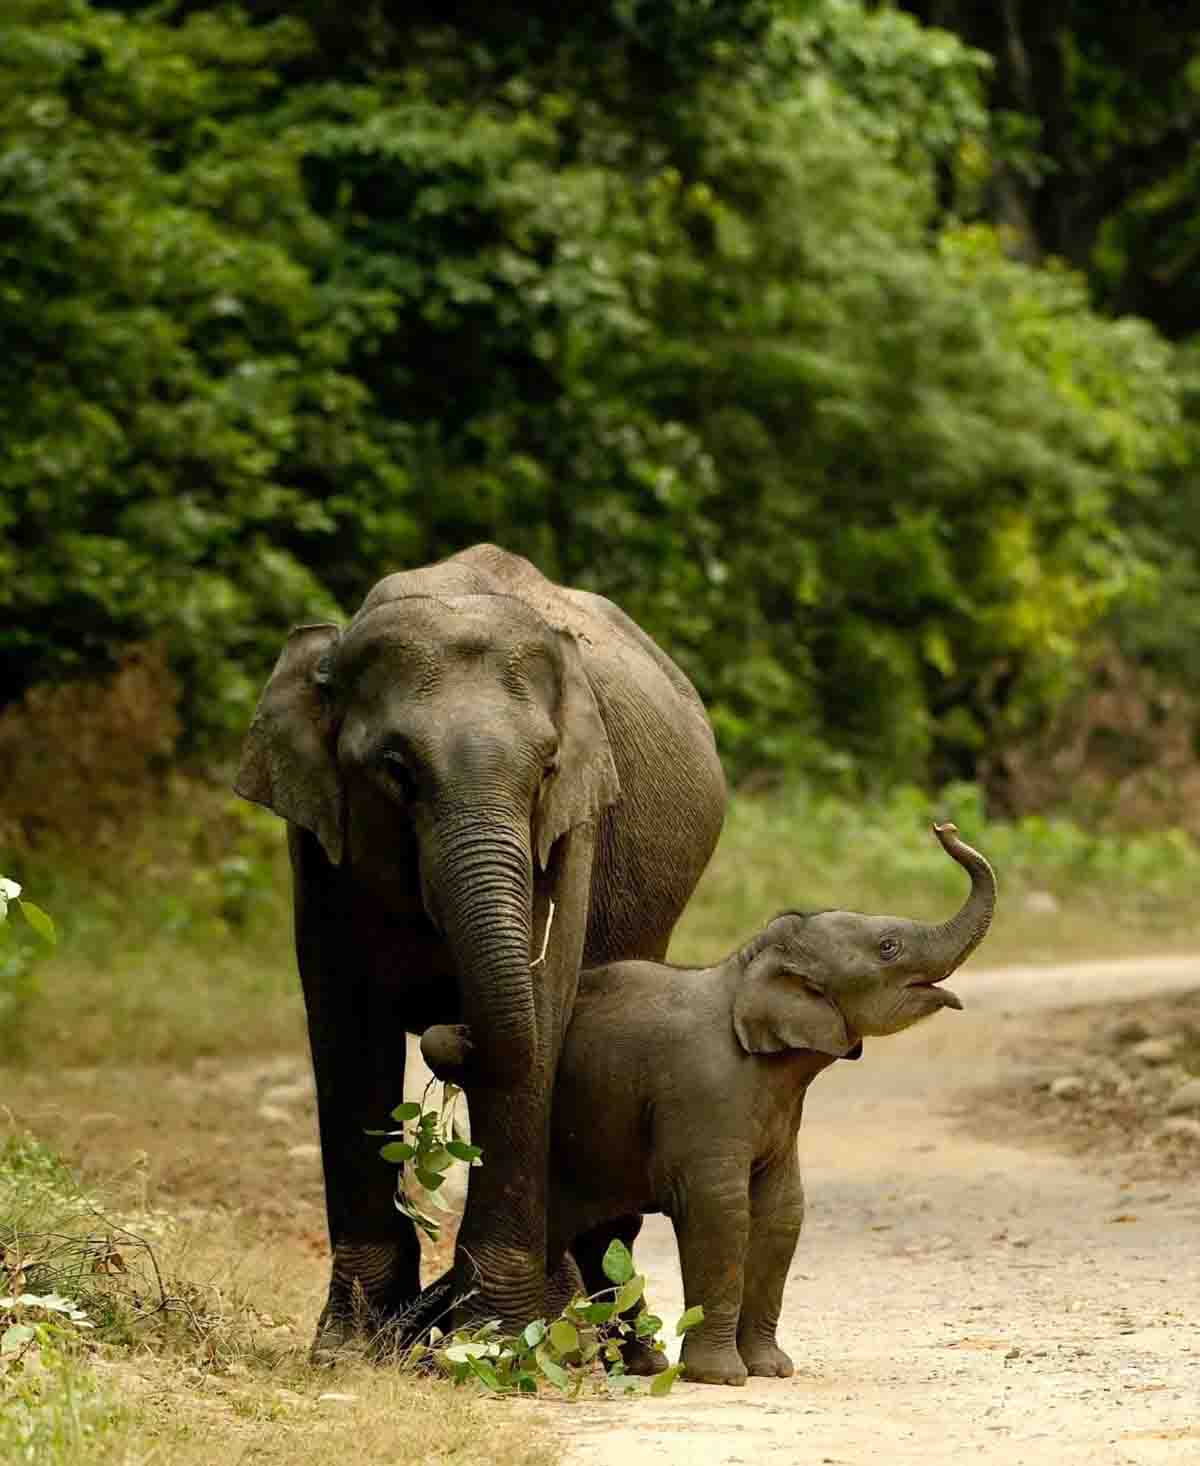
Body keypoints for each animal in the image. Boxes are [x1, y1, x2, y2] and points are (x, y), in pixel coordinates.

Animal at [234, 544, 726, 1355]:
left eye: (547, 768)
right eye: (395, 769)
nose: (444, 1024)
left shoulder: (571, 829)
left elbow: (542, 1020)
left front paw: (492, 1338)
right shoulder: (315, 838)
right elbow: (347, 1032)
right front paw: (350, 1346)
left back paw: (605, 1341)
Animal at [420, 822, 995, 1385]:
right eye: (889, 947)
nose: (942, 825)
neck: (747, 967)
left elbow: (783, 1208)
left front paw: (772, 1370)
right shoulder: (703, 1092)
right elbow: (720, 1208)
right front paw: (722, 1378)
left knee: (607, 1234)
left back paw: (640, 1363)